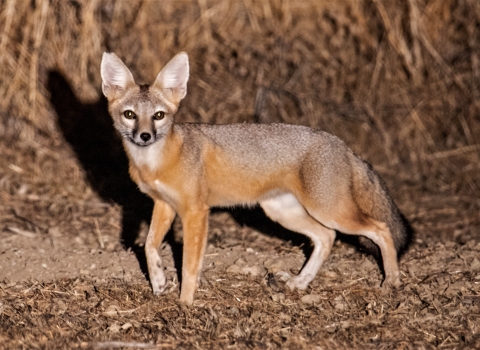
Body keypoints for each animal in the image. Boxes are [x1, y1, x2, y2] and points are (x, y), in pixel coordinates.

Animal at [99, 50, 410, 304]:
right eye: (130, 115)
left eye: (159, 116)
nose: (144, 136)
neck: (155, 163)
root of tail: (342, 144)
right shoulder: (164, 205)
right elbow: (149, 245)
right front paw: (159, 281)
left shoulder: (195, 212)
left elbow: (189, 265)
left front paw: (185, 304)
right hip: (283, 213)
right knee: (326, 236)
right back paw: (300, 282)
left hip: (331, 211)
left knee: (381, 229)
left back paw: (392, 281)